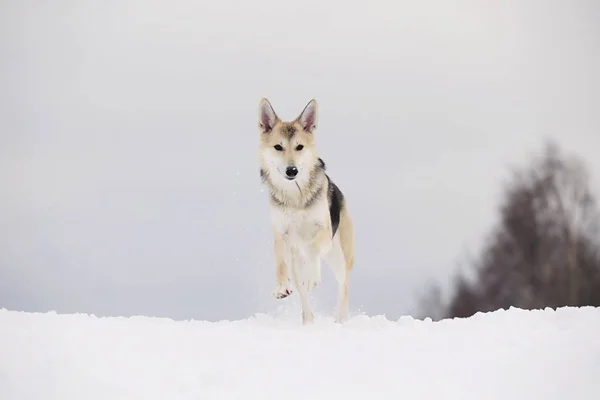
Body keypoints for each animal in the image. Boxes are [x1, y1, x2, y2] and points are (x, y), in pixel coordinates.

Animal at [255, 97, 354, 324]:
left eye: (299, 147)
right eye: (278, 147)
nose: (292, 170)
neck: (295, 198)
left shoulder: (324, 231)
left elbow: (313, 247)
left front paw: (312, 275)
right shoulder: (280, 234)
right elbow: (280, 261)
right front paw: (281, 286)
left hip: (340, 257)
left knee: (343, 286)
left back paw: (340, 318)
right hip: (297, 263)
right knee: (303, 294)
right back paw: (308, 321)